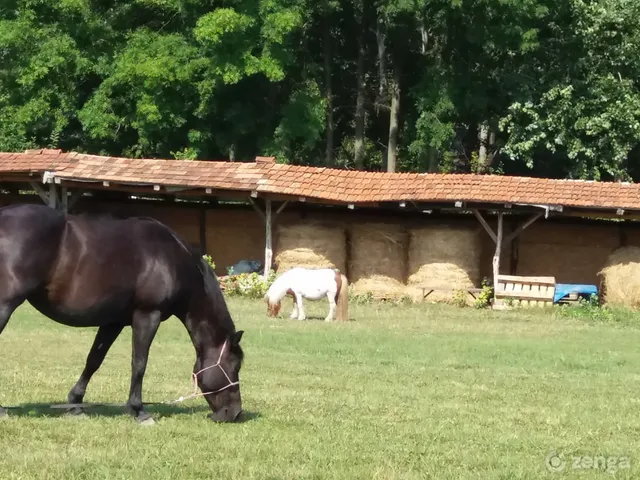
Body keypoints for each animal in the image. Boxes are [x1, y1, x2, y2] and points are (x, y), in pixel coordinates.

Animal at [0, 202, 244, 424]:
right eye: (235, 366)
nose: (234, 413)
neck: (172, 259)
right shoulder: (147, 315)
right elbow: (139, 363)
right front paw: (138, 410)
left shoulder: (113, 322)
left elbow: (94, 360)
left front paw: (75, 405)